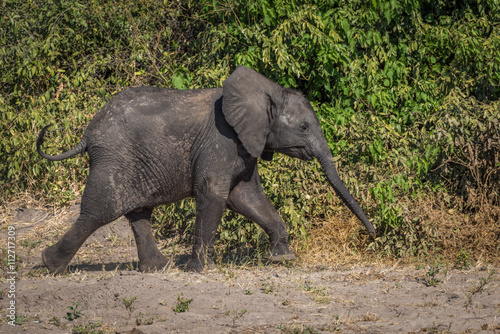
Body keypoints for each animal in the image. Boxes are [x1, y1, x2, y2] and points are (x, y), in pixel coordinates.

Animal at [37, 65, 376, 274]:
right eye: (304, 127)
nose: (373, 234)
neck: (265, 91)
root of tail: (88, 133)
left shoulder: (244, 146)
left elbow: (247, 197)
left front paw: (283, 258)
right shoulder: (222, 140)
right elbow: (214, 193)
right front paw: (200, 269)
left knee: (138, 212)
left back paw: (159, 267)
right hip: (115, 157)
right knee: (99, 211)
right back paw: (50, 265)